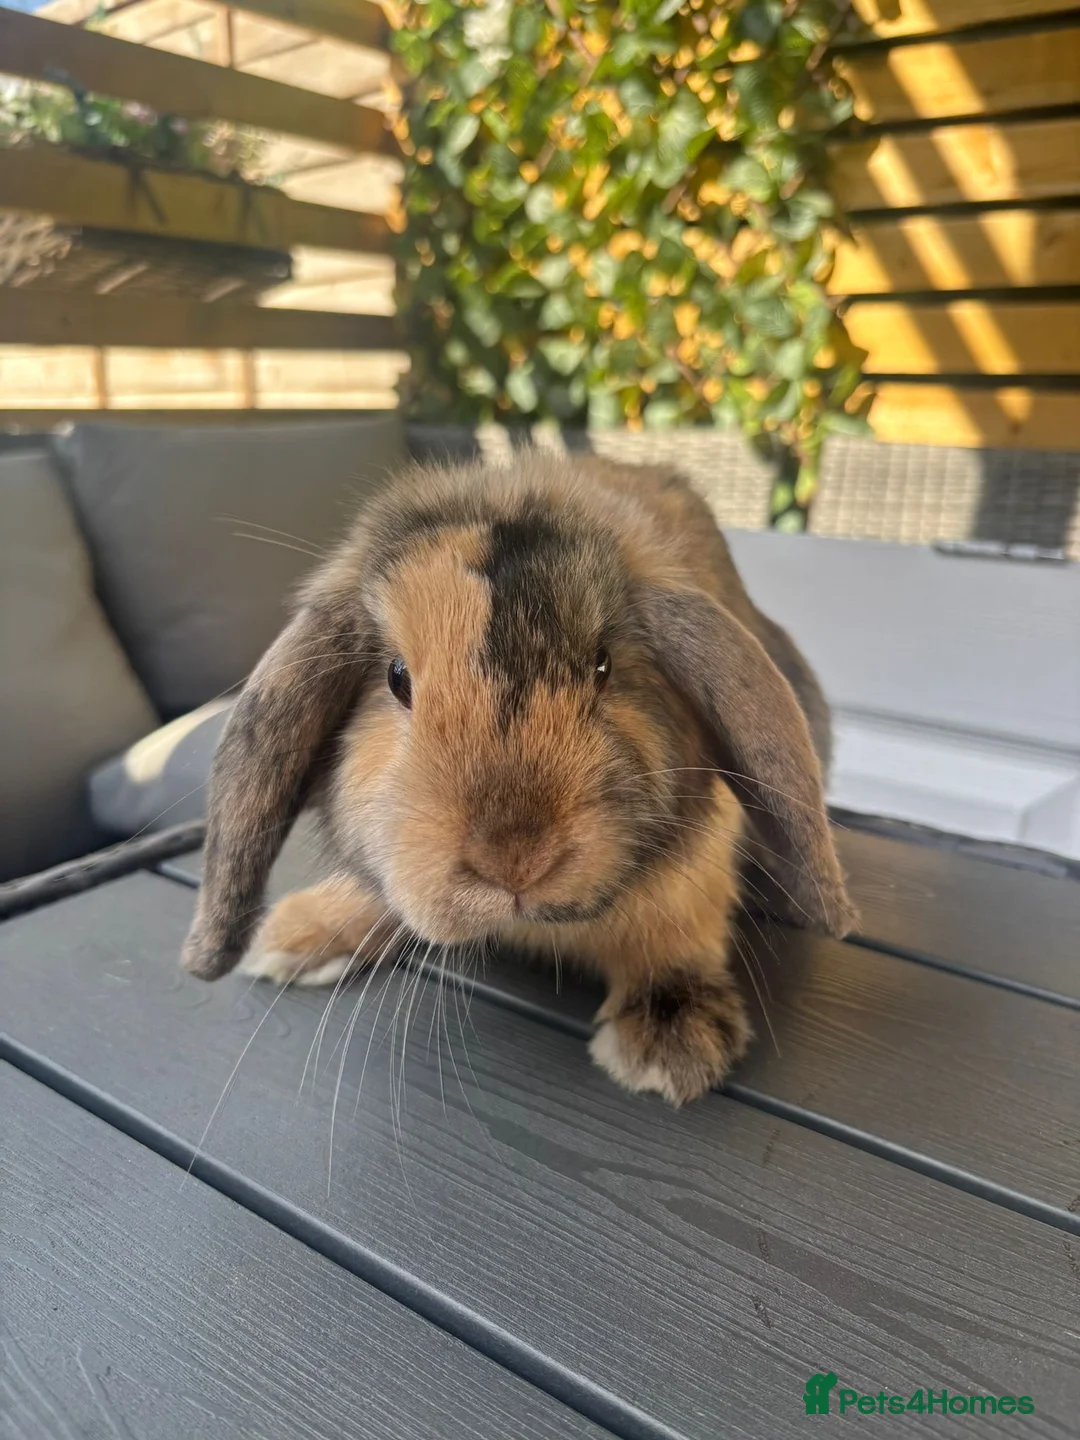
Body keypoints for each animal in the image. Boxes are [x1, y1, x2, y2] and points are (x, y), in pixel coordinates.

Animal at [181, 450, 855, 1105]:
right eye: (397, 677)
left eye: (603, 665)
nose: (514, 857)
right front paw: (297, 935)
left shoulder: (701, 864)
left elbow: (677, 930)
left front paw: (670, 1042)